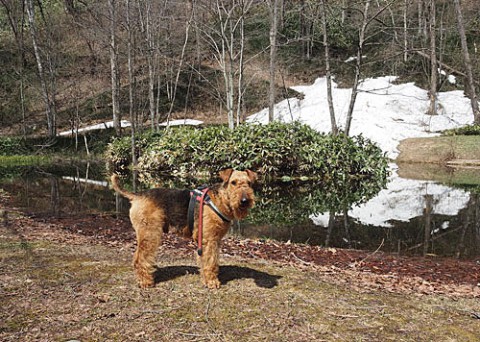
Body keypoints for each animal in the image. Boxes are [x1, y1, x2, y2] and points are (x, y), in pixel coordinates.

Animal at [110, 168, 256, 288]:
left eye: (249, 183)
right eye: (233, 182)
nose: (244, 201)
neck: (220, 200)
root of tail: (138, 195)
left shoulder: (215, 239)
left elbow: (212, 261)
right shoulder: (208, 239)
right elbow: (210, 261)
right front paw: (212, 282)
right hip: (150, 233)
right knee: (140, 259)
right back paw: (146, 281)